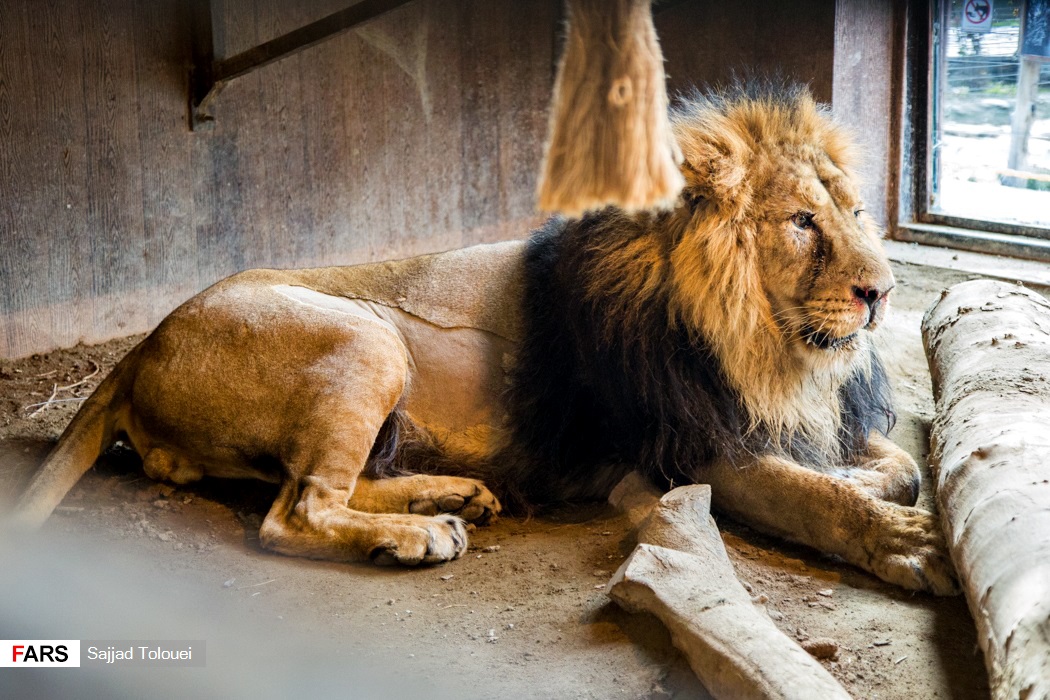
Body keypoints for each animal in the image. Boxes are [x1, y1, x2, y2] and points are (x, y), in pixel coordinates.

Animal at [10, 83, 961, 596]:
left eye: (857, 213)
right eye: (801, 222)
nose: (881, 294)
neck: (769, 349)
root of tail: (141, 344)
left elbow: (894, 465)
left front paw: (864, 479)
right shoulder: (685, 449)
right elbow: (815, 498)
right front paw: (905, 542)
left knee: (319, 485)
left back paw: (453, 497)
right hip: (365, 337)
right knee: (294, 511)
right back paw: (421, 535)